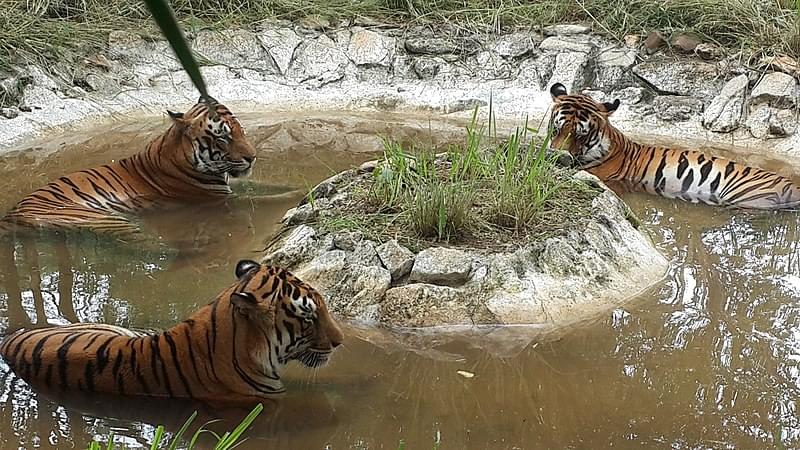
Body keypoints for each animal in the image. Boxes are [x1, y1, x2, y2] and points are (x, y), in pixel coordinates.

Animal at [0, 96, 256, 237]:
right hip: (103, 220)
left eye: (240, 130)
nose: (252, 157)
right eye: (223, 137)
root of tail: (10, 217)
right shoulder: (217, 197)